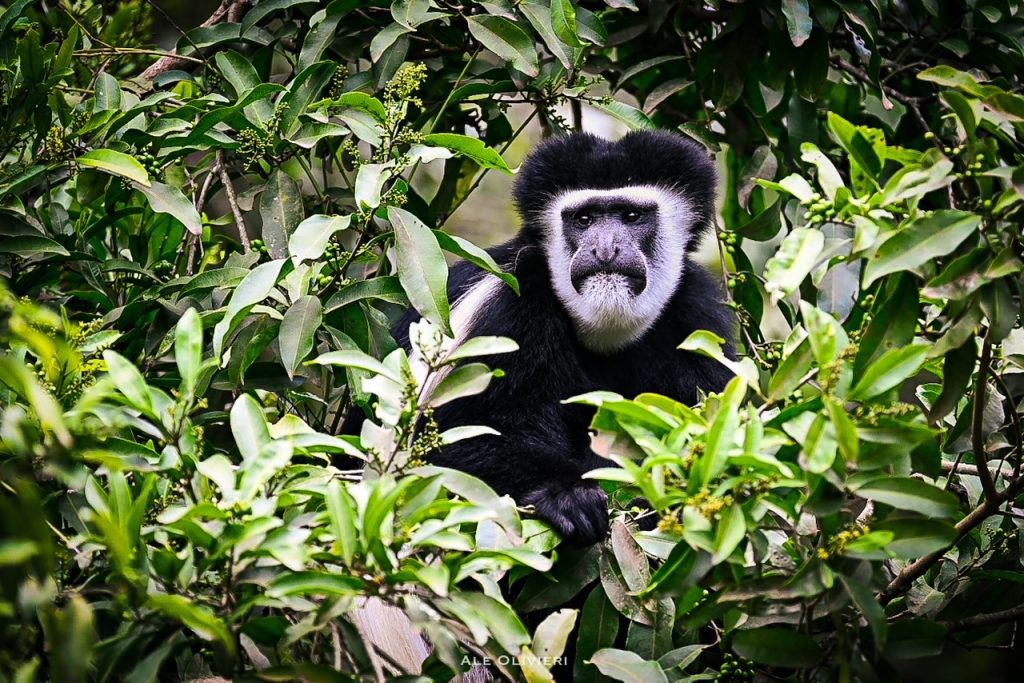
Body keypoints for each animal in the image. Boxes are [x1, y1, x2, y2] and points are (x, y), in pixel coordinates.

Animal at [371, 130, 736, 546]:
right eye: (584, 218)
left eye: (631, 216)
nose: (605, 249)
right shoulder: (508, 308)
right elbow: (446, 445)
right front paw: (568, 496)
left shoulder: (697, 321)